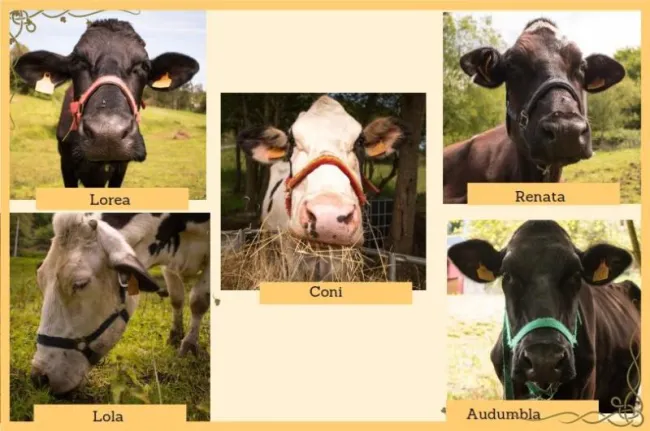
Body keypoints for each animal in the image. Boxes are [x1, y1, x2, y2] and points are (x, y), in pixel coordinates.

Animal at [30, 213, 210, 394]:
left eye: (80, 284)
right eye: (40, 279)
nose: (39, 377)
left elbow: (198, 300)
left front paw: (189, 345)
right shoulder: (170, 265)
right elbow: (176, 298)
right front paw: (175, 336)